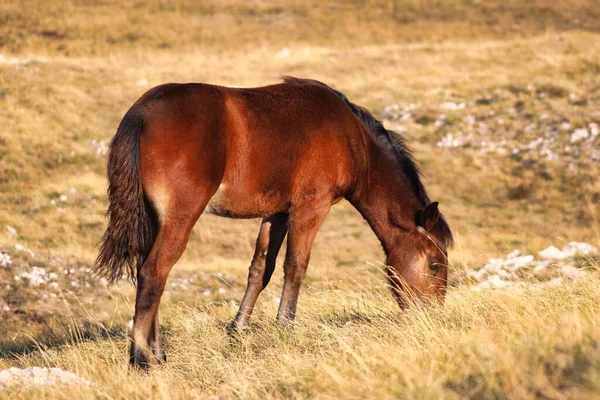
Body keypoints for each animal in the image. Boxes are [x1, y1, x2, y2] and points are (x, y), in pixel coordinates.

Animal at [92, 78, 450, 368]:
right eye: (434, 264)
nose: (434, 318)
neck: (351, 137)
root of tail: (142, 113)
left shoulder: (277, 212)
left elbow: (260, 269)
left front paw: (238, 329)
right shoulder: (310, 208)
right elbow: (295, 267)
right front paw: (285, 326)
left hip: (156, 220)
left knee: (150, 274)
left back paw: (157, 353)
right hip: (180, 219)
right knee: (154, 273)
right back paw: (142, 359)